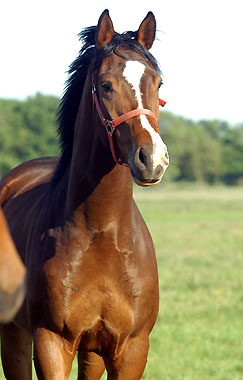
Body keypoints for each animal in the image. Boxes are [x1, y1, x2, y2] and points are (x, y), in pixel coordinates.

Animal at [0, 10, 169, 378]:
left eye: (158, 84)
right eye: (105, 85)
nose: (152, 159)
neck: (101, 232)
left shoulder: (131, 349)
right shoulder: (52, 342)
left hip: (91, 351)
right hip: (13, 332)